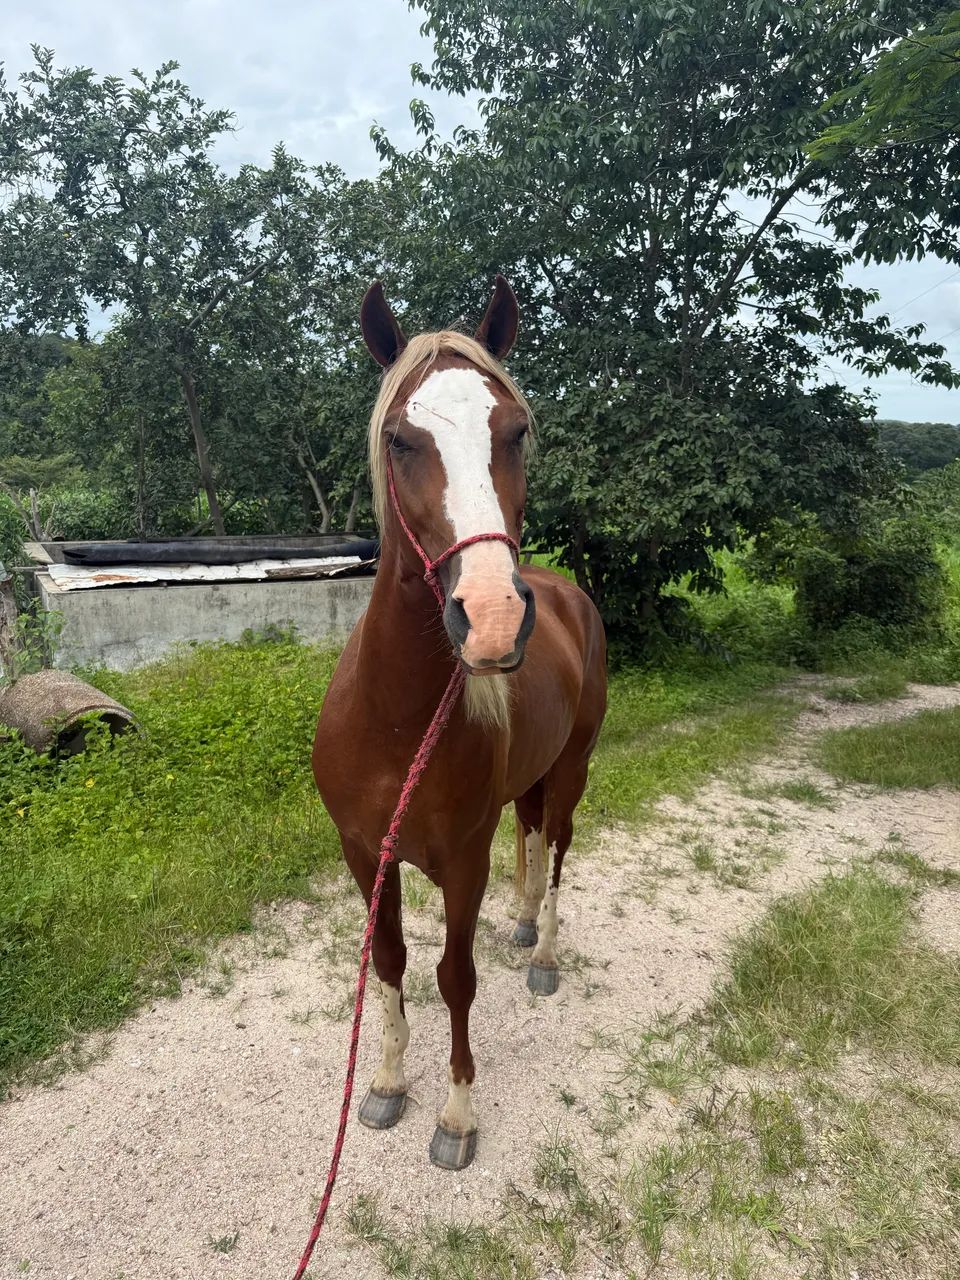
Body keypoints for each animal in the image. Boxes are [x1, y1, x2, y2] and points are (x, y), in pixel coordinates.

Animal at [312, 275, 607, 1171]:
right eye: (402, 439)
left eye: (514, 430)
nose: (493, 617)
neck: (396, 725)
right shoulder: (365, 855)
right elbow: (390, 962)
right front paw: (384, 1084)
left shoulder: (463, 865)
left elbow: (453, 976)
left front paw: (456, 1115)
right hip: (532, 781)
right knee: (535, 833)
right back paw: (524, 925)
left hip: (573, 771)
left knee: (558, 849)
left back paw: (544, 951)